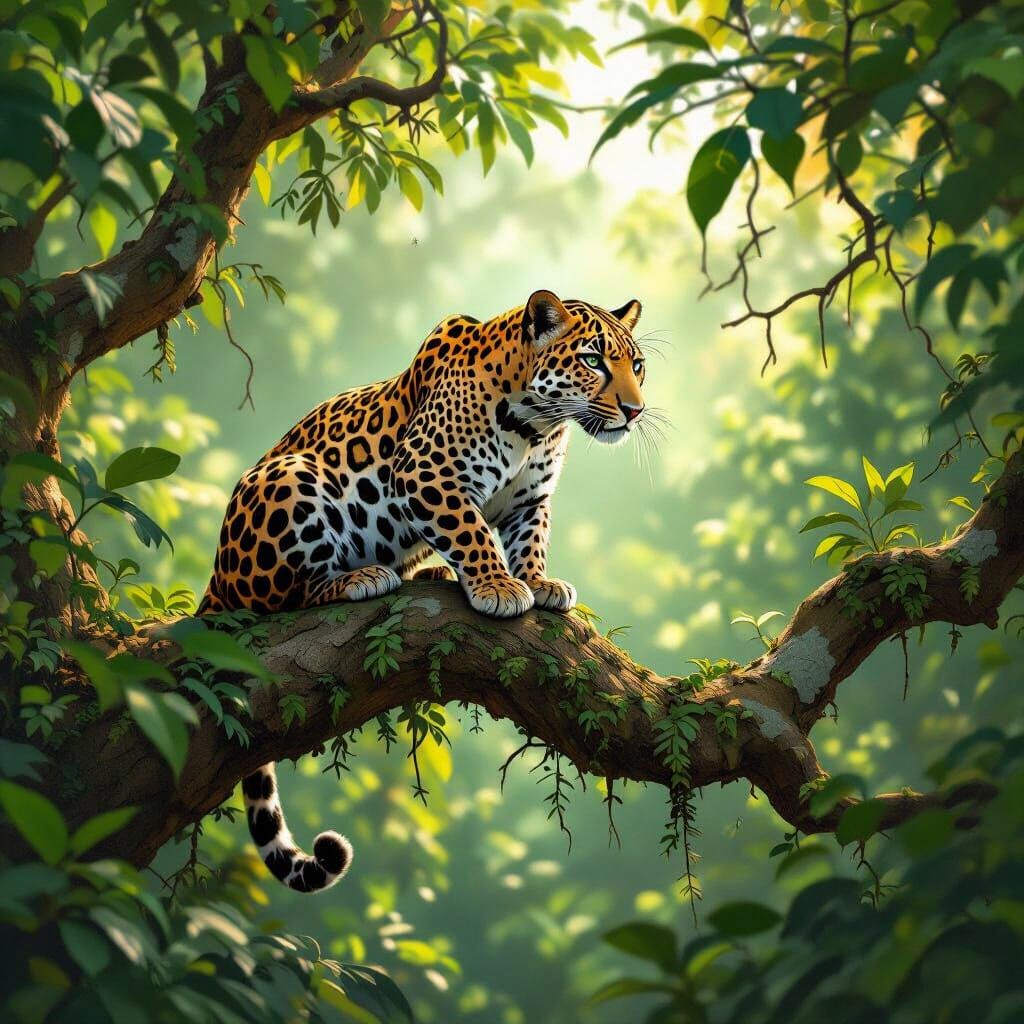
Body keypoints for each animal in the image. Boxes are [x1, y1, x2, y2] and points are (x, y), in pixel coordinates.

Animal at [198, 289, 647, 892]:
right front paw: (499, 586)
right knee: (282, 598)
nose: (635, 410)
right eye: (593, 361)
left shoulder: (531, 501)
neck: (537, 427)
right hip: (288, 481)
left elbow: (530, 540)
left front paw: (537, 581)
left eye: (636, 365)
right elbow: (471, 530)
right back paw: (360, 578)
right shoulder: (426, 474)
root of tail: (216, 576)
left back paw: (430, 574)